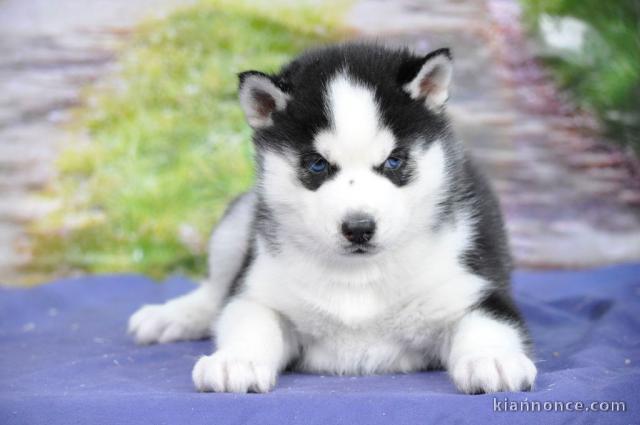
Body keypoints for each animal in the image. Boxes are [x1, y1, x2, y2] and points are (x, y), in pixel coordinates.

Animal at [129, 44, 536, 394]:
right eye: (317, 165)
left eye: (394, 161)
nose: (359, 228)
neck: (359, 278)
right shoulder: (259, 290)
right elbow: (248, 318)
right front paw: (235, 360)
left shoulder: (474, 288)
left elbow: (487, 324)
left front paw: (492, 359)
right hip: (239, 220)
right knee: (215, 289)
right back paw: (173, 315)